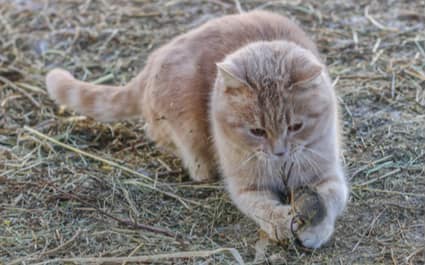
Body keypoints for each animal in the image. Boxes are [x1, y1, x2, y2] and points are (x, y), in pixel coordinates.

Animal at [45, 10, 348, 249]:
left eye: (296, 126)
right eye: (257, 131)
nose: (279, 153)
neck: (282, 168)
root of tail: (150, 64)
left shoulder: (329, 175)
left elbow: (331, 198)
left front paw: (316, 229)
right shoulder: (246, 188)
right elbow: (263, 208)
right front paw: (283, 223)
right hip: (189, 135)